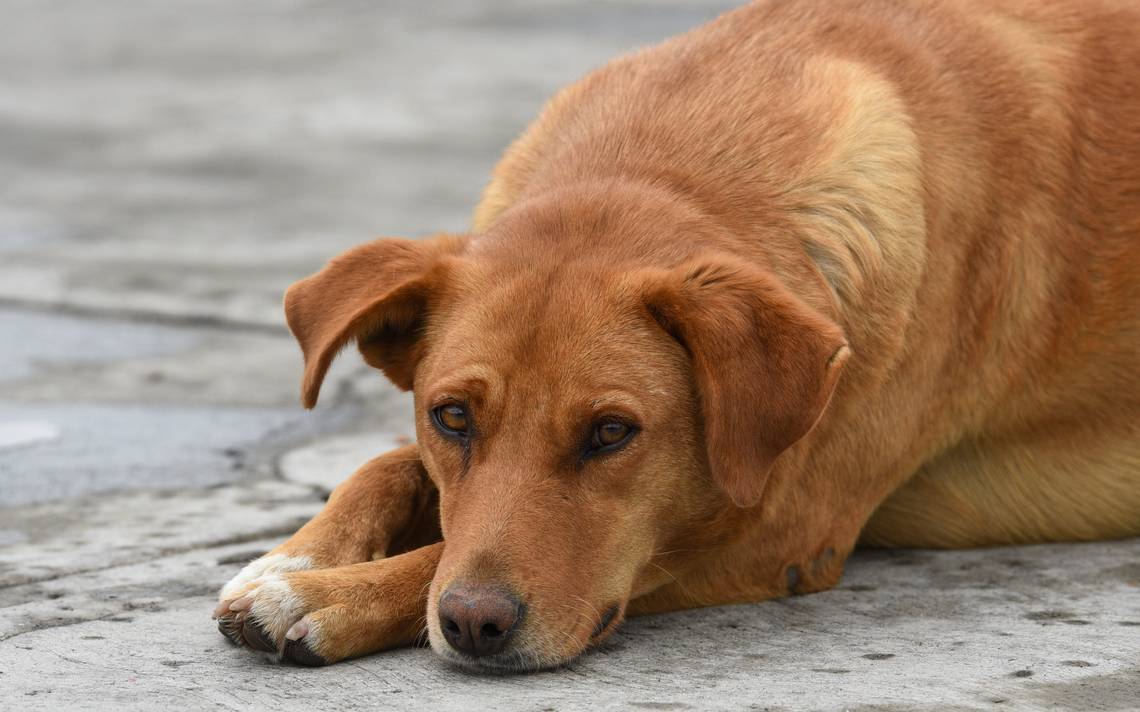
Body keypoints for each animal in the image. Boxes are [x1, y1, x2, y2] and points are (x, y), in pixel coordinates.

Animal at [212, 0, 1140, 669]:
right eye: (452, 418)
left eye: (611, 434)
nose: (475, 624)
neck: (667, 162)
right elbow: (388, 468)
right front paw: (291, 562)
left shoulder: (772, 531)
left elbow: (437, 557)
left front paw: (329, 597)